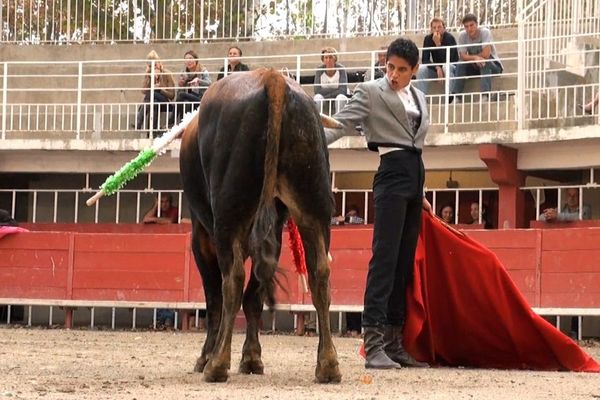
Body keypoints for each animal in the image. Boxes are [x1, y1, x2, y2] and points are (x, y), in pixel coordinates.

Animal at [178, 69, 342, 384]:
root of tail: (272, 78)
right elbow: (254, 296)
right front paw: (252, 357)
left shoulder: (200, 237)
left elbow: (214, 298)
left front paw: (206, 357)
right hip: (313, 206)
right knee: (320, 274)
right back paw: (327, 365)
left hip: (229, 215)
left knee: (231, 282)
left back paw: (217, 364)